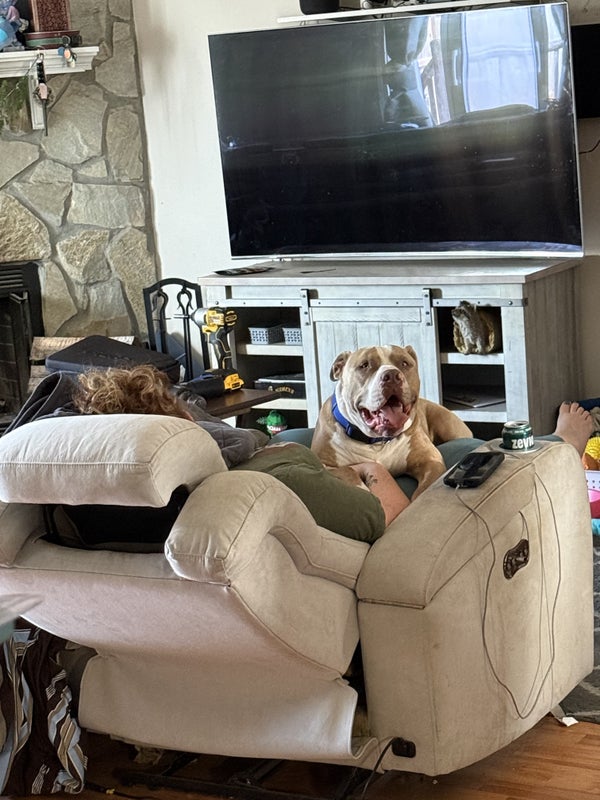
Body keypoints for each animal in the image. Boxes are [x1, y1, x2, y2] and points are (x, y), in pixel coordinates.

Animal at [311, 345, 472, 498]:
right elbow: (347, 470)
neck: (376, 443)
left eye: (404, 363)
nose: (392, 375)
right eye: (364, 365)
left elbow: (423, 492)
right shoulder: (324, 464)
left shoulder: (431, 461)